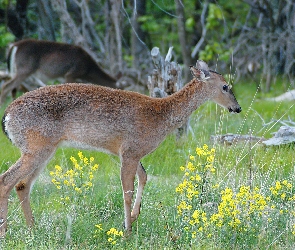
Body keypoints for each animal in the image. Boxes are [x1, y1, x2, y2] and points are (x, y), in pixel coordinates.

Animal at [0, 59, 242, 237]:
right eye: (225, 86)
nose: (237, 108)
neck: (161, 115)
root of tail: (7, 115)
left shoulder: (129, 153)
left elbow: (144, 177)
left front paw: (133, 218)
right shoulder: (130, 151)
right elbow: (127, 191)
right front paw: (127, 231)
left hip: (44, 151)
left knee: (22, 185)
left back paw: (33, 229)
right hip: (37, 148)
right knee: (6, 180)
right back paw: (6, 231)